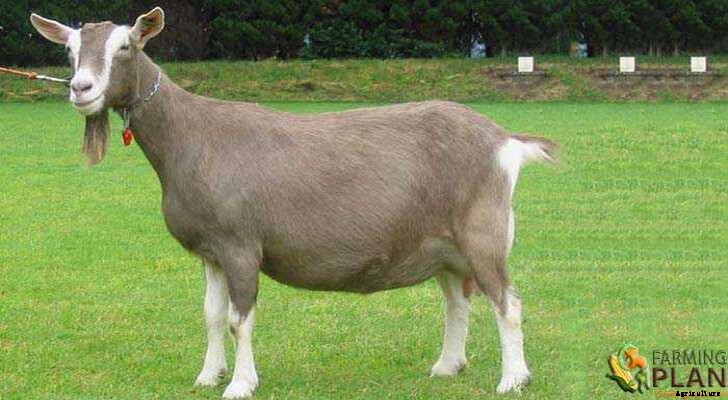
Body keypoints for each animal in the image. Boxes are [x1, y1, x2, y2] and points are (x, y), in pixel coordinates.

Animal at [30, 8, 557, 399]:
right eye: (70, 50)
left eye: (125, 46)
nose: (81, 89)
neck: (192, 137)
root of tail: (504, 141)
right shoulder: (210, 252)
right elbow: (212, 316)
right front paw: (207, 376)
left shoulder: (241, 245)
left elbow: (240, 319)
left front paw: (241, 384)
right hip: (442, 246)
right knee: (457, 300)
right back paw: (447, 366)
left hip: (482, 233)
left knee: (507, 301)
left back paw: (513, 379)